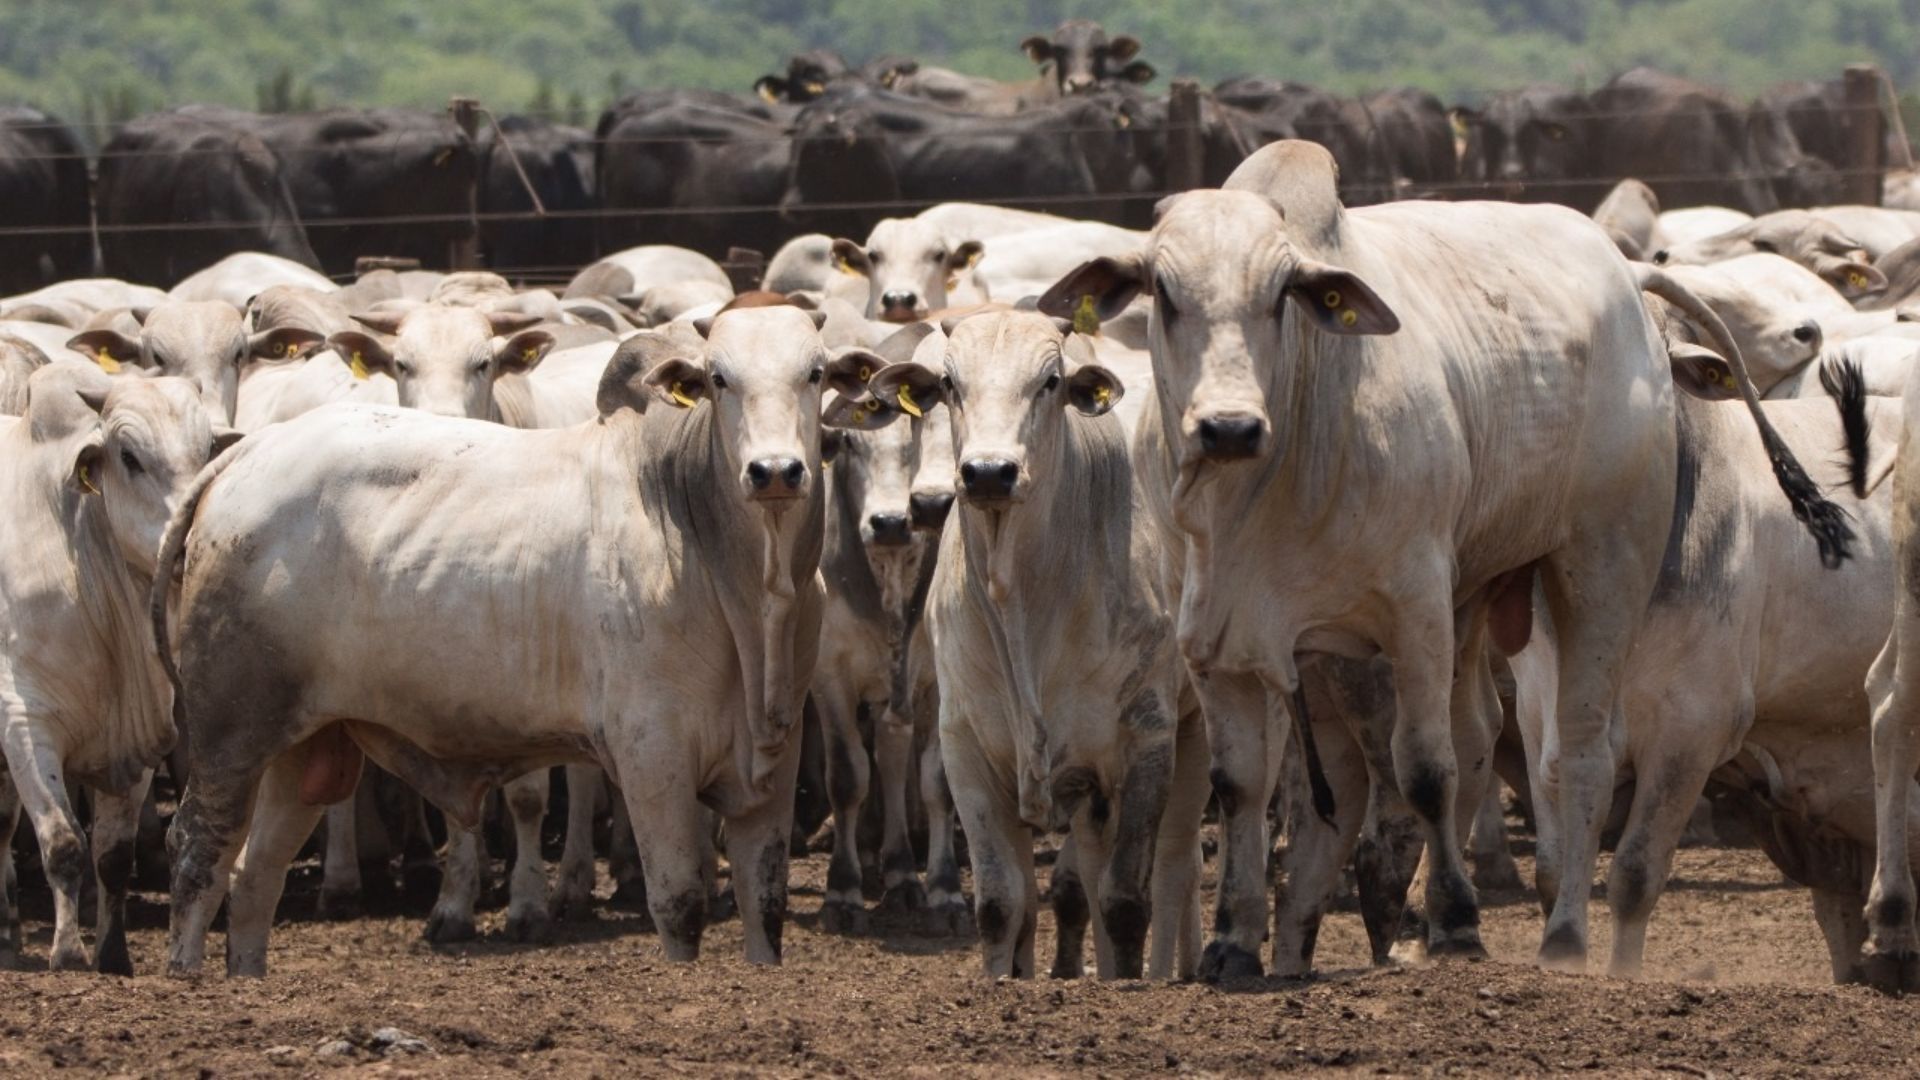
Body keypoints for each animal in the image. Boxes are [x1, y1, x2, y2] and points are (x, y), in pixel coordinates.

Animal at [0, 365, 240, 972]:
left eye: (206, 449)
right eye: (129, 456)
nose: (188, 540)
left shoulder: (140, 745)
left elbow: (112, 856)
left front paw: (112, 956)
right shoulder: (24, 721)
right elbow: (63, 844)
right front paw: (67, 952)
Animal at [161, 305, 879, 976]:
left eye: (815, 374)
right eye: (718, 378)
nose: (775, 471)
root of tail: (244, 454)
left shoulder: (773, 761)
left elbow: (766, 905)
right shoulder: (653, 758)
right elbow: (679, 903)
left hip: (305, 747)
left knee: (255, 877)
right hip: (229, 734)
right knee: (197, 855)